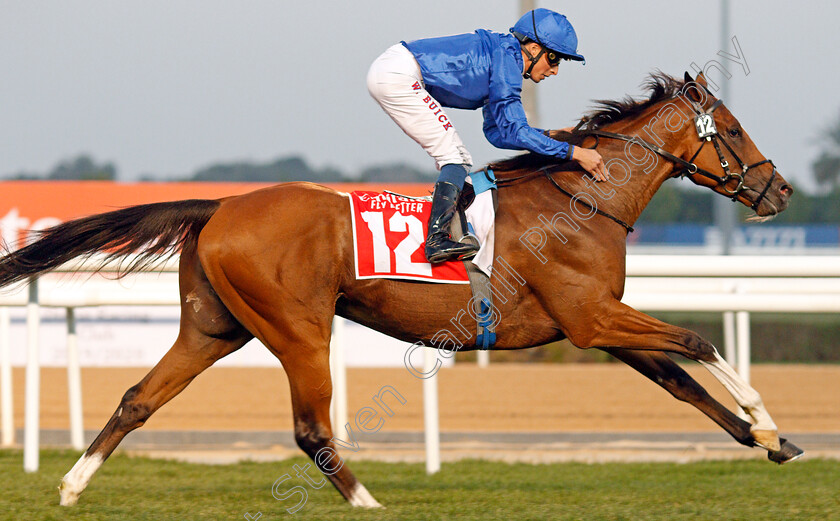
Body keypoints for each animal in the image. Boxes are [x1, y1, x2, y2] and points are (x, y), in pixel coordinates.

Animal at [0, 71, 800, 506]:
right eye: (732, 128)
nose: (779, 190)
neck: (583, 198)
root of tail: (221, 205)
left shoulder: (600, 323)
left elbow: (682, 381)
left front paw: (773, 439)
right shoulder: (592, 318)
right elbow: (698, 339)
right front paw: (765, 417)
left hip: (214, 326)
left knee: (139, 397)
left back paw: (72, 484)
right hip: (299, 327)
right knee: (311, 429)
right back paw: (368, 501)